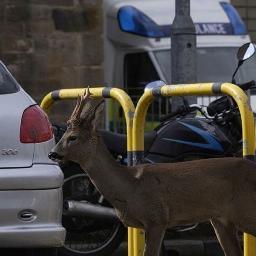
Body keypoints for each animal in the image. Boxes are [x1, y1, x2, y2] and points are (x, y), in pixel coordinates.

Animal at [48, 88, 256, 256]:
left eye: (73, 137)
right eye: (64, 135)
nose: (52, 153)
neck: (130, 186)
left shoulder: (157, 218)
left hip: (245, 209)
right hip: (221, 220)